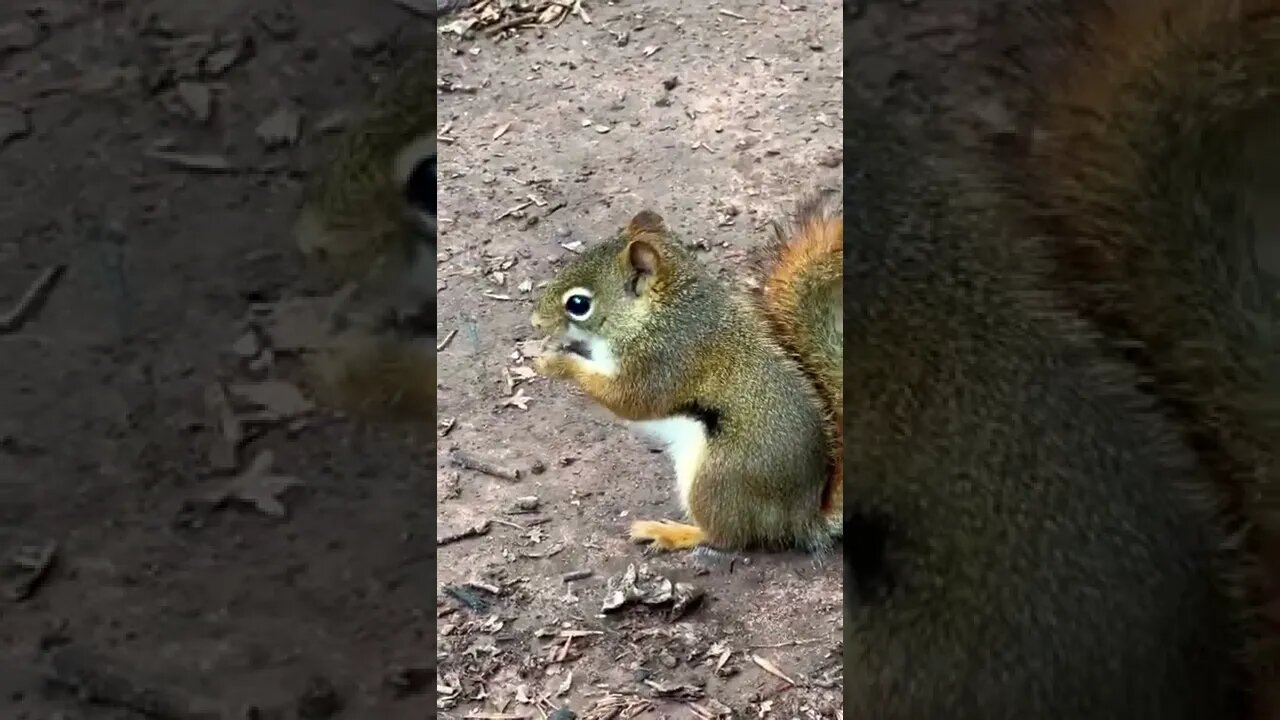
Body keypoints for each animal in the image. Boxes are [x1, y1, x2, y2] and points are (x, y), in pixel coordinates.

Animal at [529, 199, 843, 553]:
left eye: (579, 304)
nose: (535, 322)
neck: (661, 312)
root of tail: (800, 519)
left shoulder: (662, 361)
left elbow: (628, 400)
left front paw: (556, 363)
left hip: (716, 479)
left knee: (726, 537)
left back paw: (671, 532)